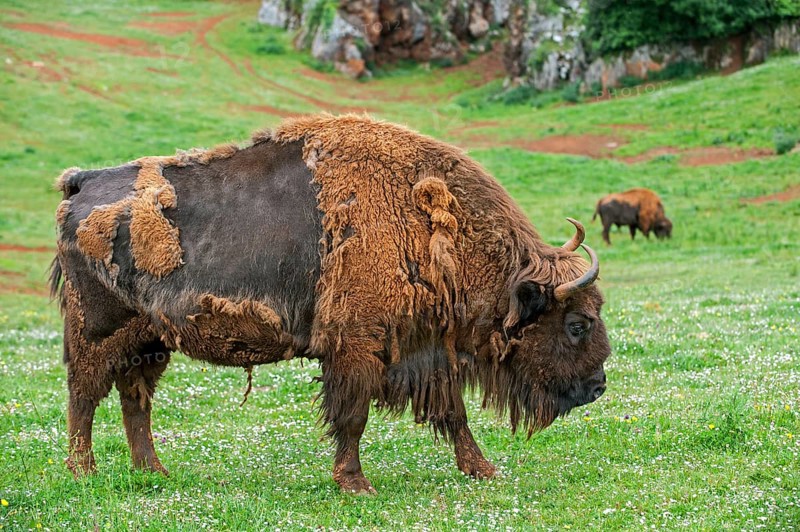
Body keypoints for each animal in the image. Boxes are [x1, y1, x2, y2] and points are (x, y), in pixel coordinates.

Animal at [51, 114, 611, 494]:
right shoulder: (356, 347)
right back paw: (83, 472)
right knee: (85, 394)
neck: (425, 222)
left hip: (151, 340)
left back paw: (154, 471)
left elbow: (453, 413)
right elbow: (353, 416)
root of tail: (82, 183)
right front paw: (355, 484)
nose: (599, 386)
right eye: (577, 324)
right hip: (98, 331)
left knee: (133, 398)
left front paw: (483, 469)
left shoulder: (425, 349)